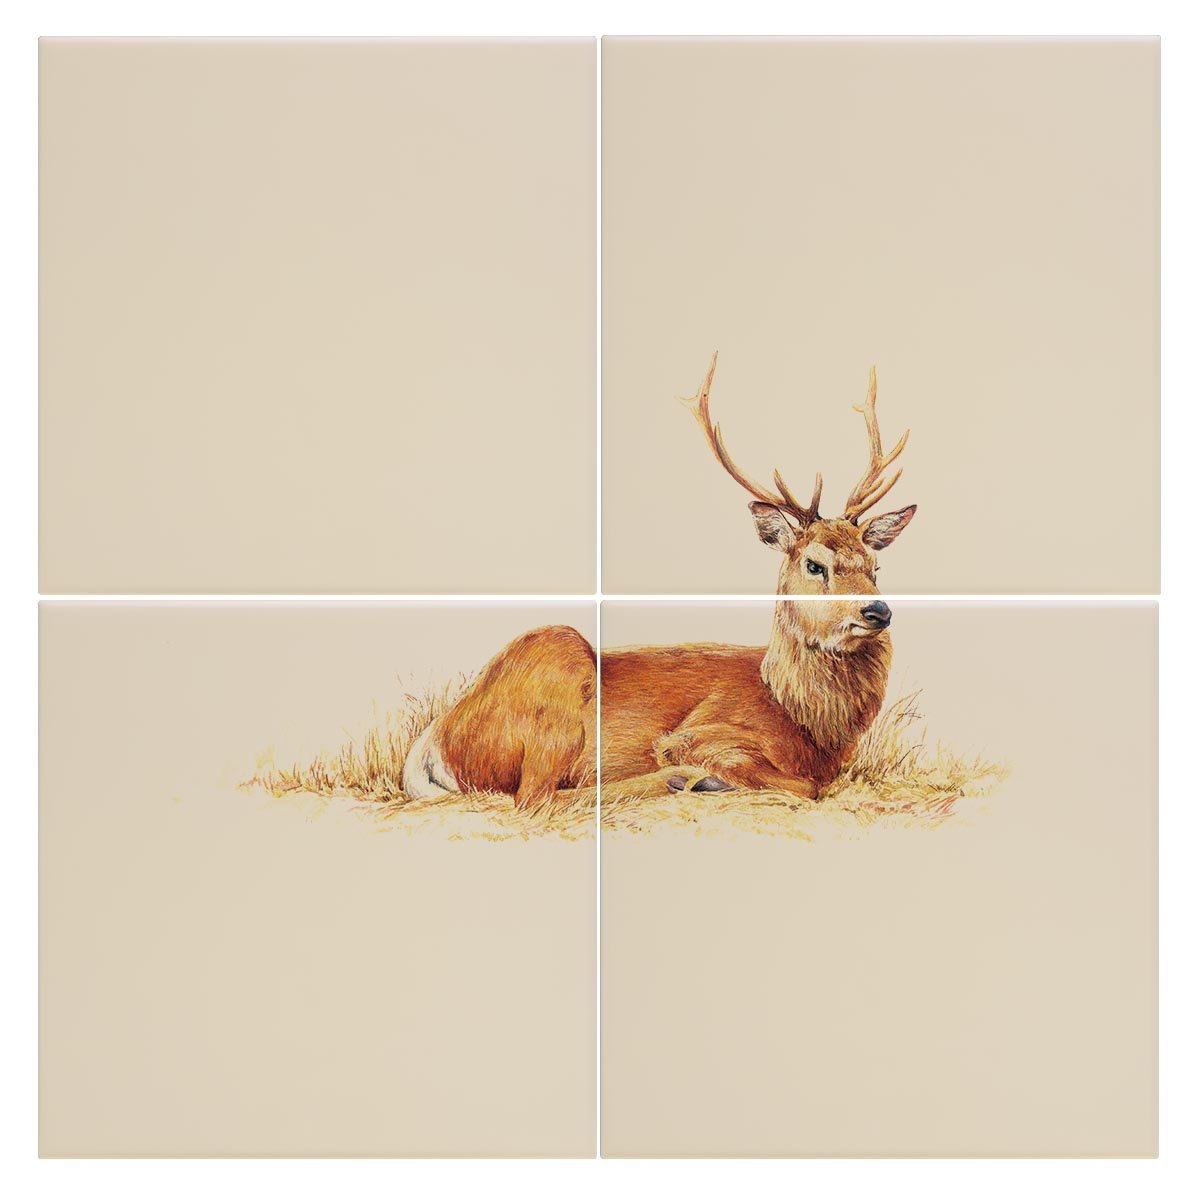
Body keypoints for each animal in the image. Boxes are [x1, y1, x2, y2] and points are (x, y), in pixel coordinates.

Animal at [402, 354, 916, 808]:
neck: (801, 720)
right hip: (556, 664)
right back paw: (679, 780)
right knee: (535, 798)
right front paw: (706, 778)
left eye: (874, 566)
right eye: (814, 564)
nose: (878, 610)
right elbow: (805, 787)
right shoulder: (699, 734)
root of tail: (438, 740)